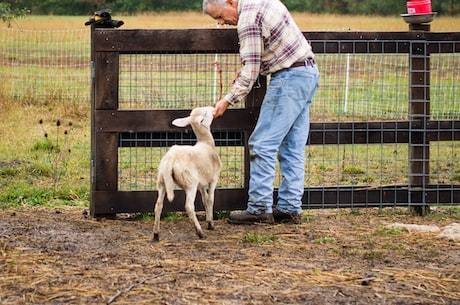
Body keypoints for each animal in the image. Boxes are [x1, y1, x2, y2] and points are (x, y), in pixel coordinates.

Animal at [153, 105, 221, 241]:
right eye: (206, 112)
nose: (213, 108)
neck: (206, 142)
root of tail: (171, 159)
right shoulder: (213, 178)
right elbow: (210, 199)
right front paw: (211, 224)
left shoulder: (201, 183)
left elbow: (205, 200)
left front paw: (208, 220)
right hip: (190, 182)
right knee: (189, 206)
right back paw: (200, 233)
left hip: (162, 181)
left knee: (158, 205)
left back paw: (156, 234)